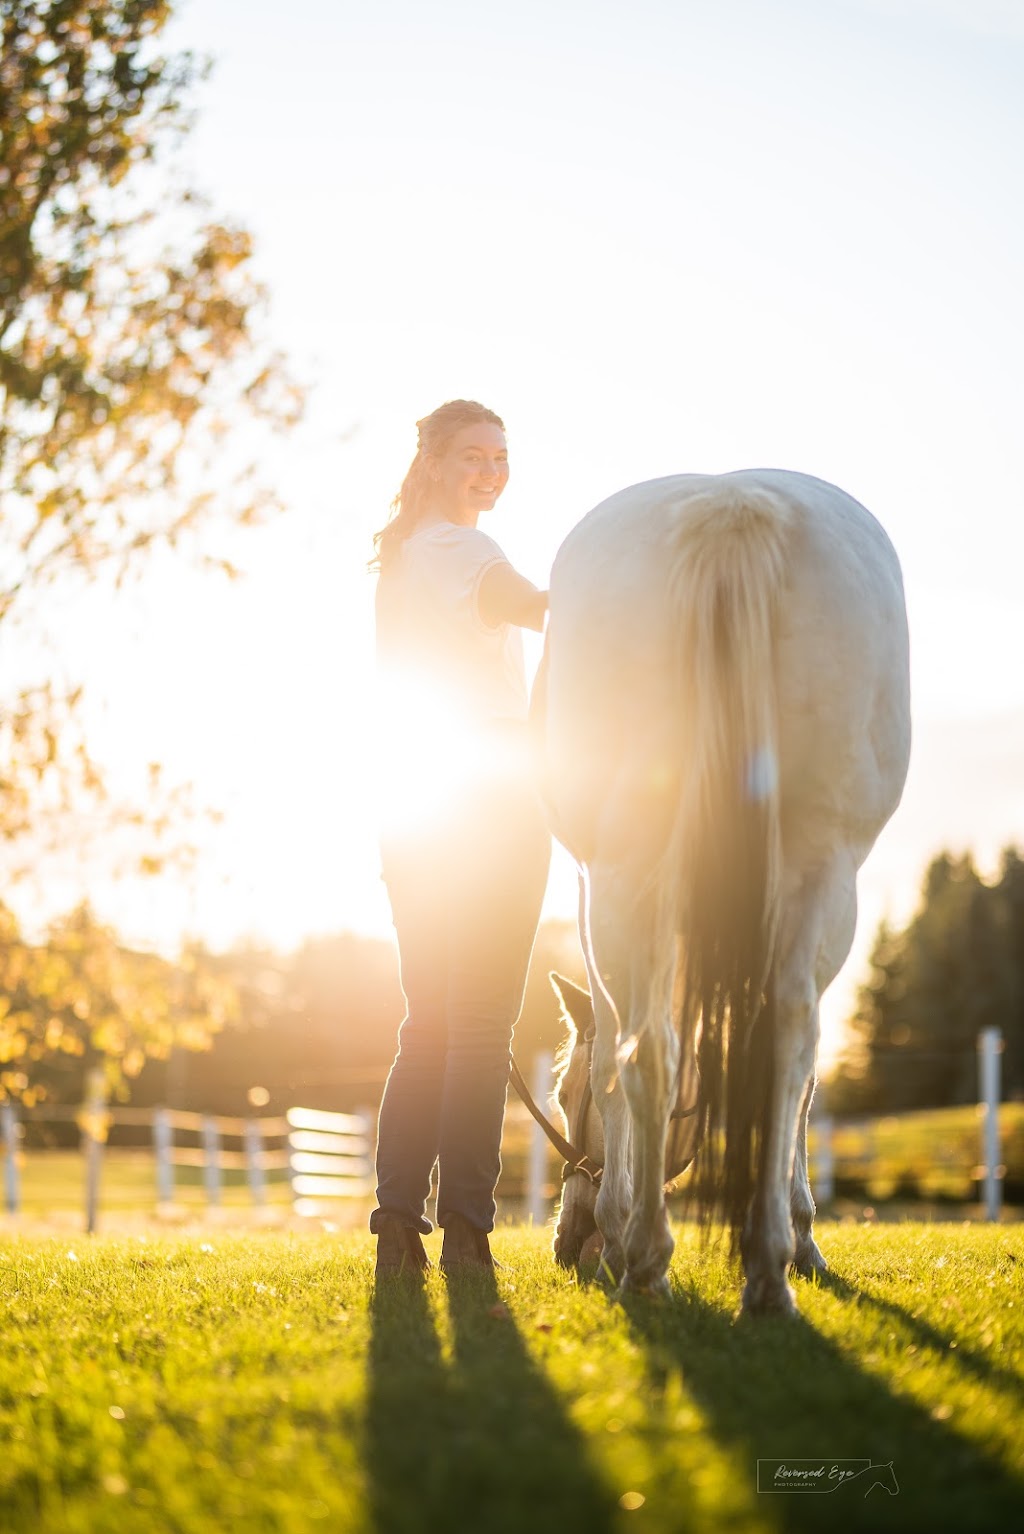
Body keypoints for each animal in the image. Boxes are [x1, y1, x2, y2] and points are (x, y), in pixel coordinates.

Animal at [539, 466, 907, 1306]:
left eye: (563, 1098)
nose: (567, 1242)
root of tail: (729, 503)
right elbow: (800, 1081)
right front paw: (802, 1240)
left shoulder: (591, 890)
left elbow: (611, 1063)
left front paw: (620, 1226)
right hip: (823, 861)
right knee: (788, 1037)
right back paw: (769, 1270)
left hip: (630, 871)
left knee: (649, 1049)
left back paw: (646, 1261)